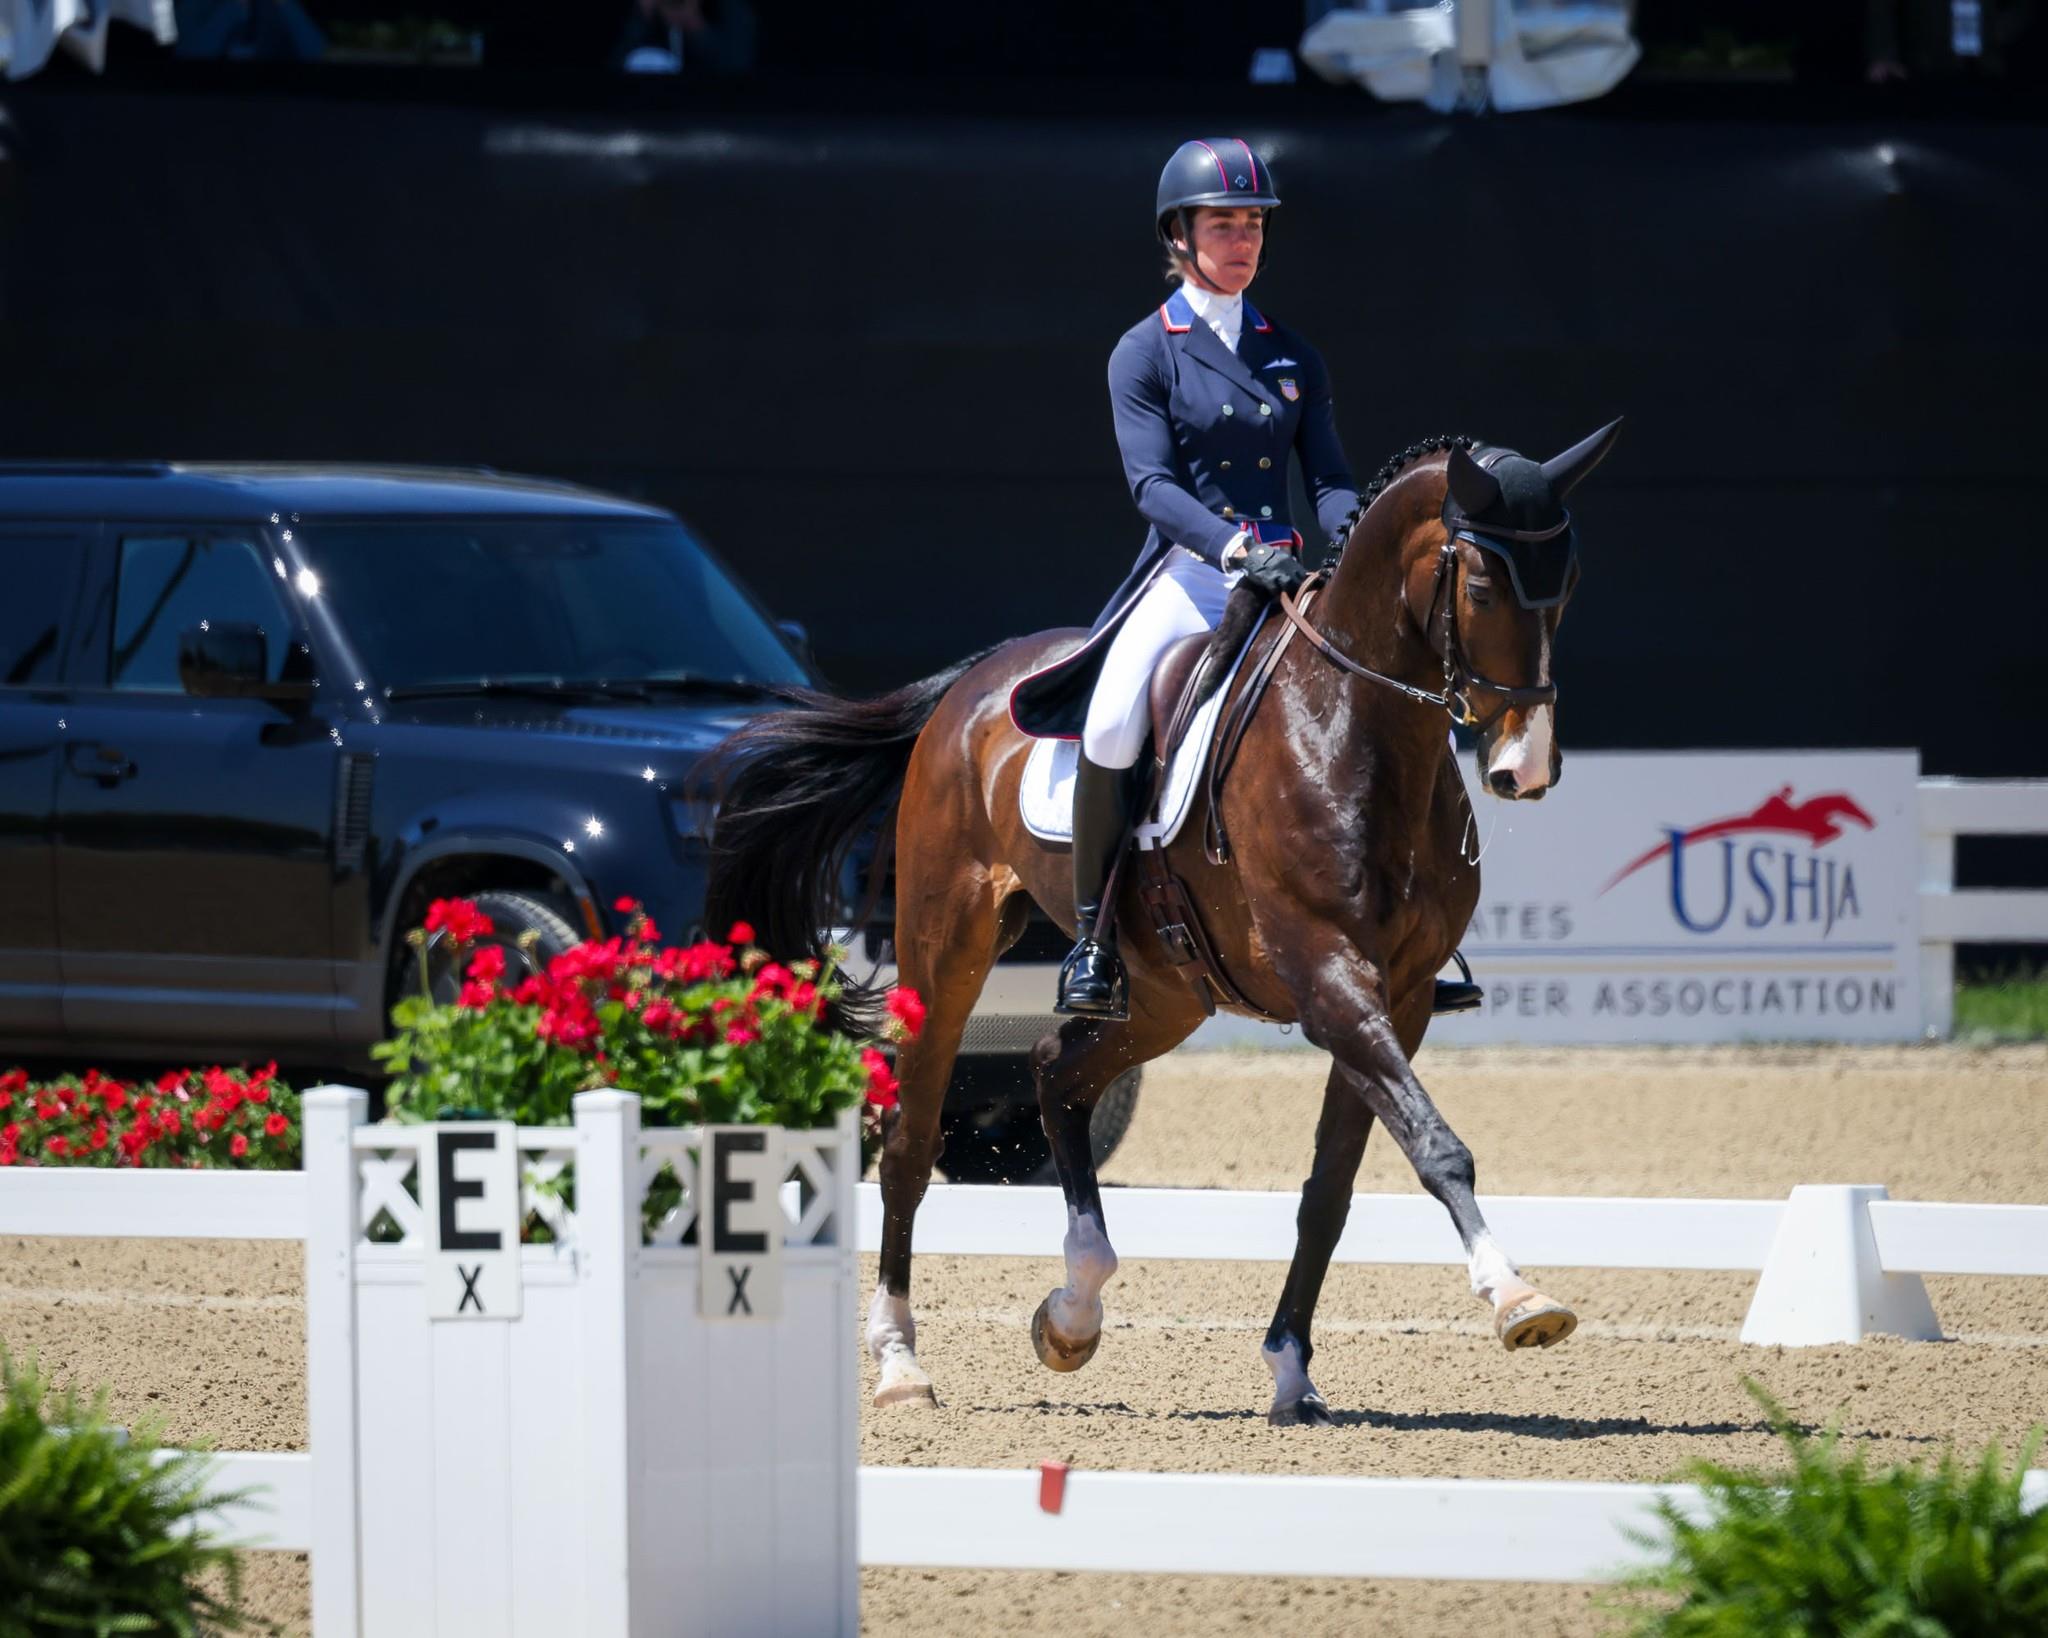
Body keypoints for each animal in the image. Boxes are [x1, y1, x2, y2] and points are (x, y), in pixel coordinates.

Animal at [712, 421, 1622, 1416]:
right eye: (1486, 587)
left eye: (1572, 584)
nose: (1525, 768)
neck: (1353, 726)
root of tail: (972, 682)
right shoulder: (1330, 977)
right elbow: (1436, 1146)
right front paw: (1518, 1297)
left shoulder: (1405, 996)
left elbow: (1331, 1189)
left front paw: (1291, 1369)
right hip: (945, 944)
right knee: (912, 1138)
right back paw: (901, 1362)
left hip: (1162, 992)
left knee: (1053, 1069)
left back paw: (1074, 1309)